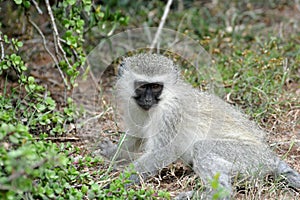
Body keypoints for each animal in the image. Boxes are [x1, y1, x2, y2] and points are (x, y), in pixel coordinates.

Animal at [99, 53, 298, 198]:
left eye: (156, 87)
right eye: (142, 86)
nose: (148, 100)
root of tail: (271, 158)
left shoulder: (171, 112)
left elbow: (162, 152)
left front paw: (114, 184)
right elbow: (136, 136)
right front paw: (110, 152)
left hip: (251, 158)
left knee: (202, 148)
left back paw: (214, 194)